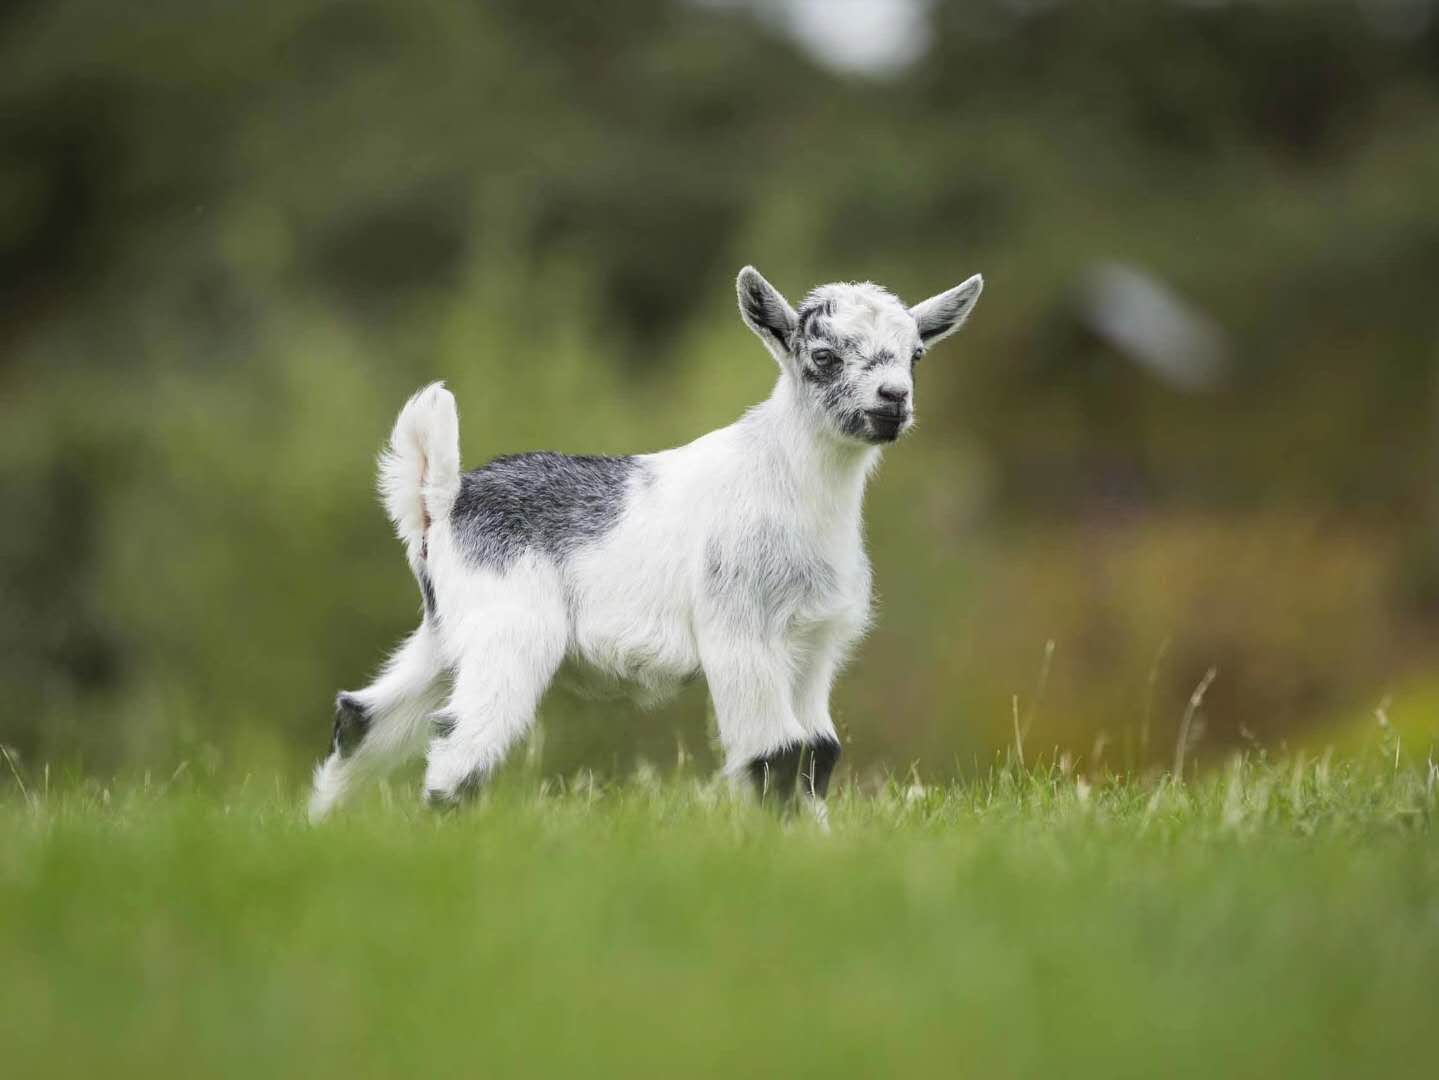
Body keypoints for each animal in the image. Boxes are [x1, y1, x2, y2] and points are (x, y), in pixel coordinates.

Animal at [307, 264, 984, 816]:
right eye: (821, 355)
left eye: (916, 355)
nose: (893, 400)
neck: (785, 479)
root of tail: (443, 503)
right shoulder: (739, 631)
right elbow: (776, 756)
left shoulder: (815, 642)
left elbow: (817, 755)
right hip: (511, 626)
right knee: (462, 738)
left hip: (447, 629)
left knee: (363, 718)